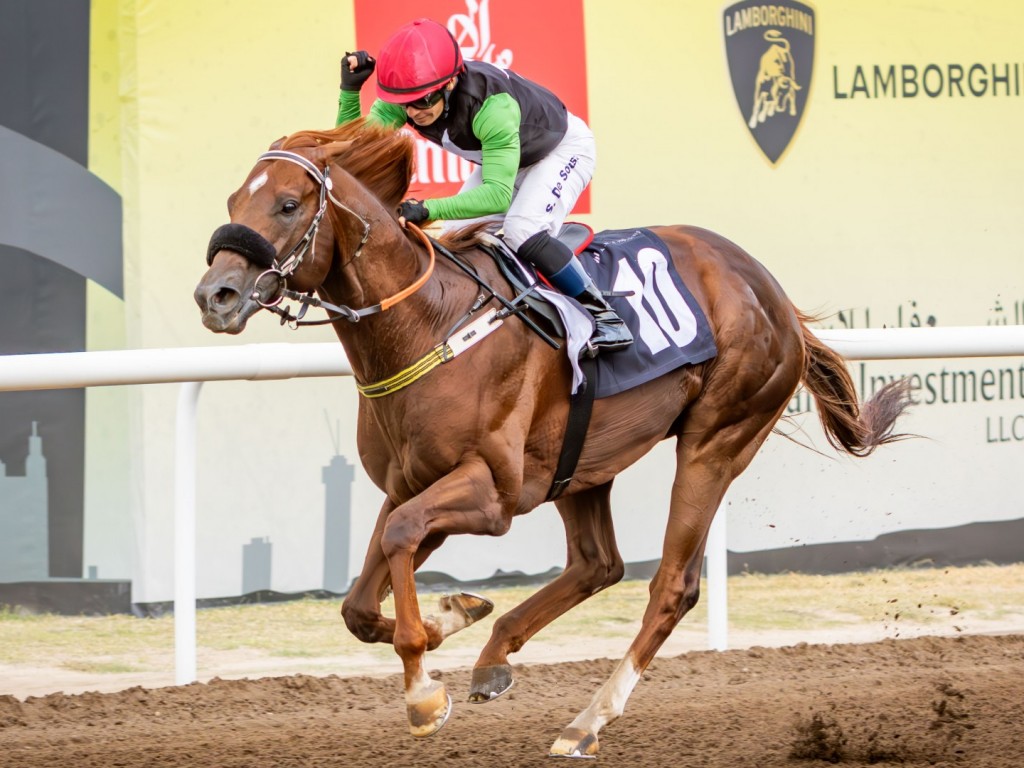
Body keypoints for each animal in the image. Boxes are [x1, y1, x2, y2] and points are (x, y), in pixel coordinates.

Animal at [193, 120, 913, 757]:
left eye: (288, 204)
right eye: (232, 201)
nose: (215, 295)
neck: (429, 325)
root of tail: (775, 296)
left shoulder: (493, 492)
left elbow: (397, 542)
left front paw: (424, 691)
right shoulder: (410, 485)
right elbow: (359, 602)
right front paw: (453, 615)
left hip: (718, 438)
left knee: (670, 586)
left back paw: (586, 722)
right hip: (584, 461)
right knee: (599, 563)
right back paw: (494, 657)